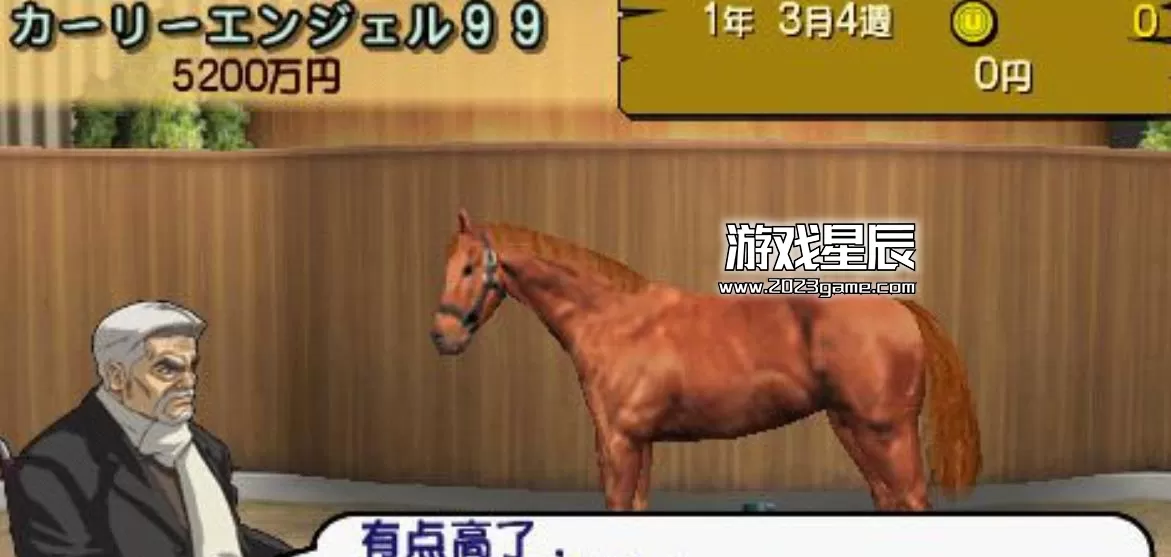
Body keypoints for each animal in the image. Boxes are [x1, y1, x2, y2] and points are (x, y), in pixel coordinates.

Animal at [430, 209, 981, 511]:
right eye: (447, 265)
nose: (442, 335)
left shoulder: (618, 442)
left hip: (886, 432)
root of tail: (900, 308)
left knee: (911, 500)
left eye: (471, 266)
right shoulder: (641, 443)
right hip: (852, 428)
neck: (613, 320)